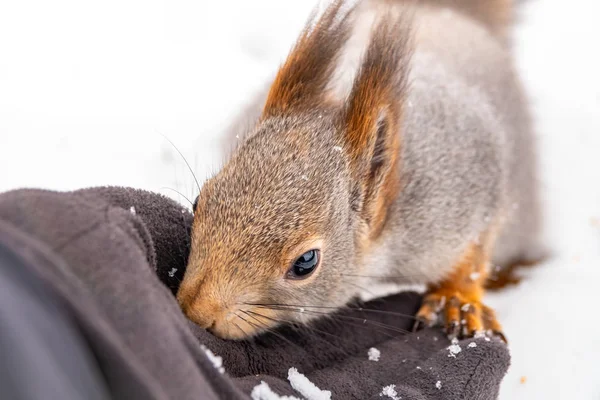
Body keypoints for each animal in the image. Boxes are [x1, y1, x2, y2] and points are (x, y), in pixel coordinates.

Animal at [176, 0, 540, 342]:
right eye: (198, 201)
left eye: (306, 262)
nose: (196, 312)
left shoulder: (468, 190)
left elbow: (475, 254)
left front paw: (457, 300)